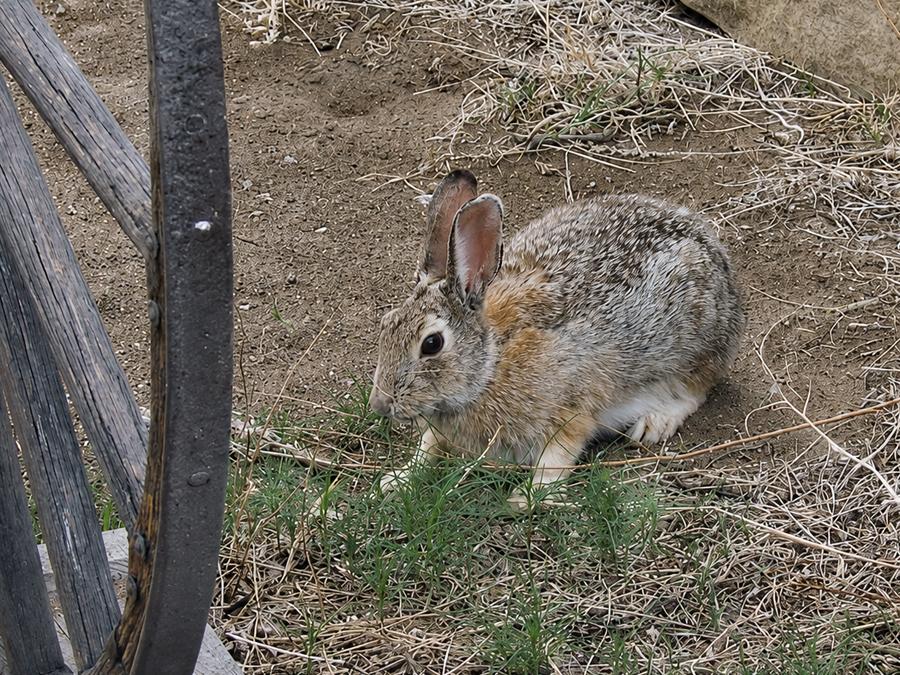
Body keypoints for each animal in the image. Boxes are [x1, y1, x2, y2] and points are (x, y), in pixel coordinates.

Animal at [370, 169, 744, 507]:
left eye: (432, 344)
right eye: (386, 325)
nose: (380, 405)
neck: (491, 361)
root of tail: (711, 245)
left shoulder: (573, 403)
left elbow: (558, 455)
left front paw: (527, 497)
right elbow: (429, 447)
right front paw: (394, 481)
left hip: (695, 345)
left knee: (695, 390)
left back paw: (655, 422)